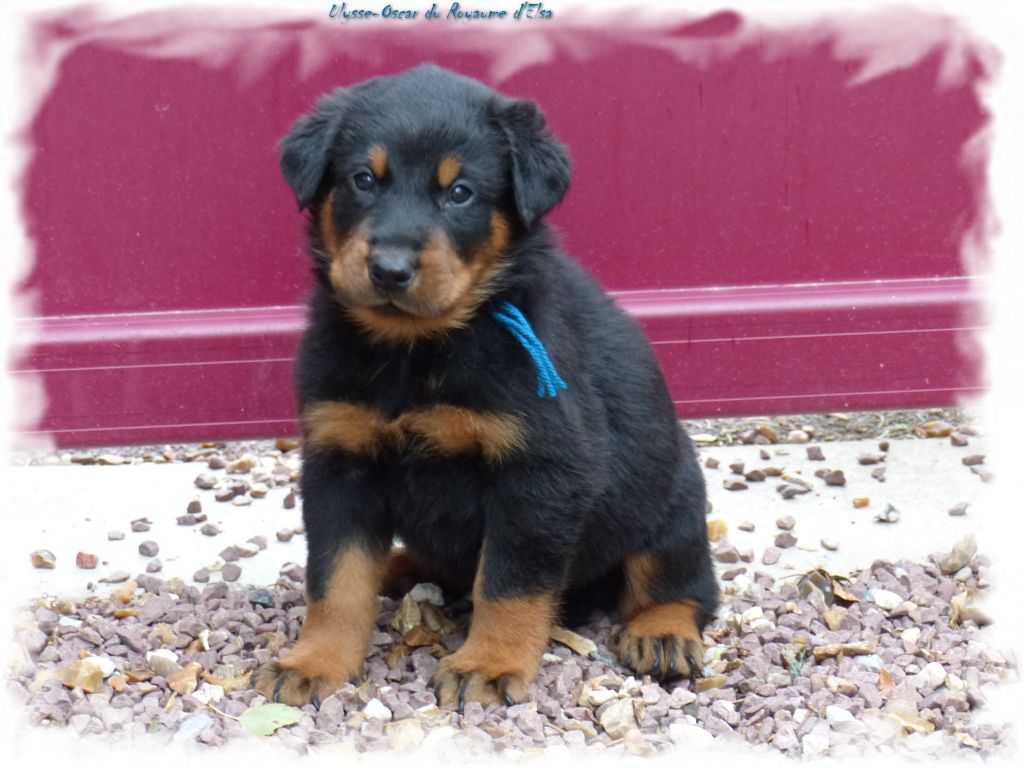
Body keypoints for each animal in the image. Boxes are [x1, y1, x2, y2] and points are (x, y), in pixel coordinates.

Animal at [253, 64, 719, 709]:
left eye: (460, 193)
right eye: (363, 180)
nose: (390, 269)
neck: (419, 350)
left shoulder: (542, 470)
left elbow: (508, 582)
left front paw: (489, 665)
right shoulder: (339, 458)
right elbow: (336, 579)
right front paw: (314, 661)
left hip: (670, 495)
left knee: (681, 580)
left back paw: (663, 632)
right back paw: (400, 567)